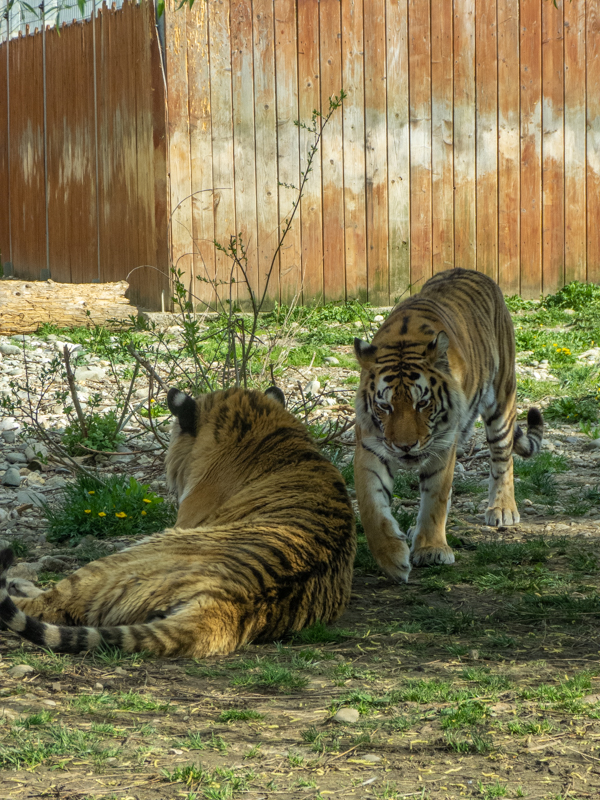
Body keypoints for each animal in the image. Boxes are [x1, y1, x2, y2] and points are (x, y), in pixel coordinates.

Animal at [354, 268, 543, 583]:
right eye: (385, 406)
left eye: (422, 403)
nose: (405, 447)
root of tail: (470, 270)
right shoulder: (371, 445)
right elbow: (371, 506)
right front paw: (392, 558)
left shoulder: (443, 444)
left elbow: (436, 498)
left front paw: (431, 549)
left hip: (501, 400)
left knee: (503, 458)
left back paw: (502, 509)